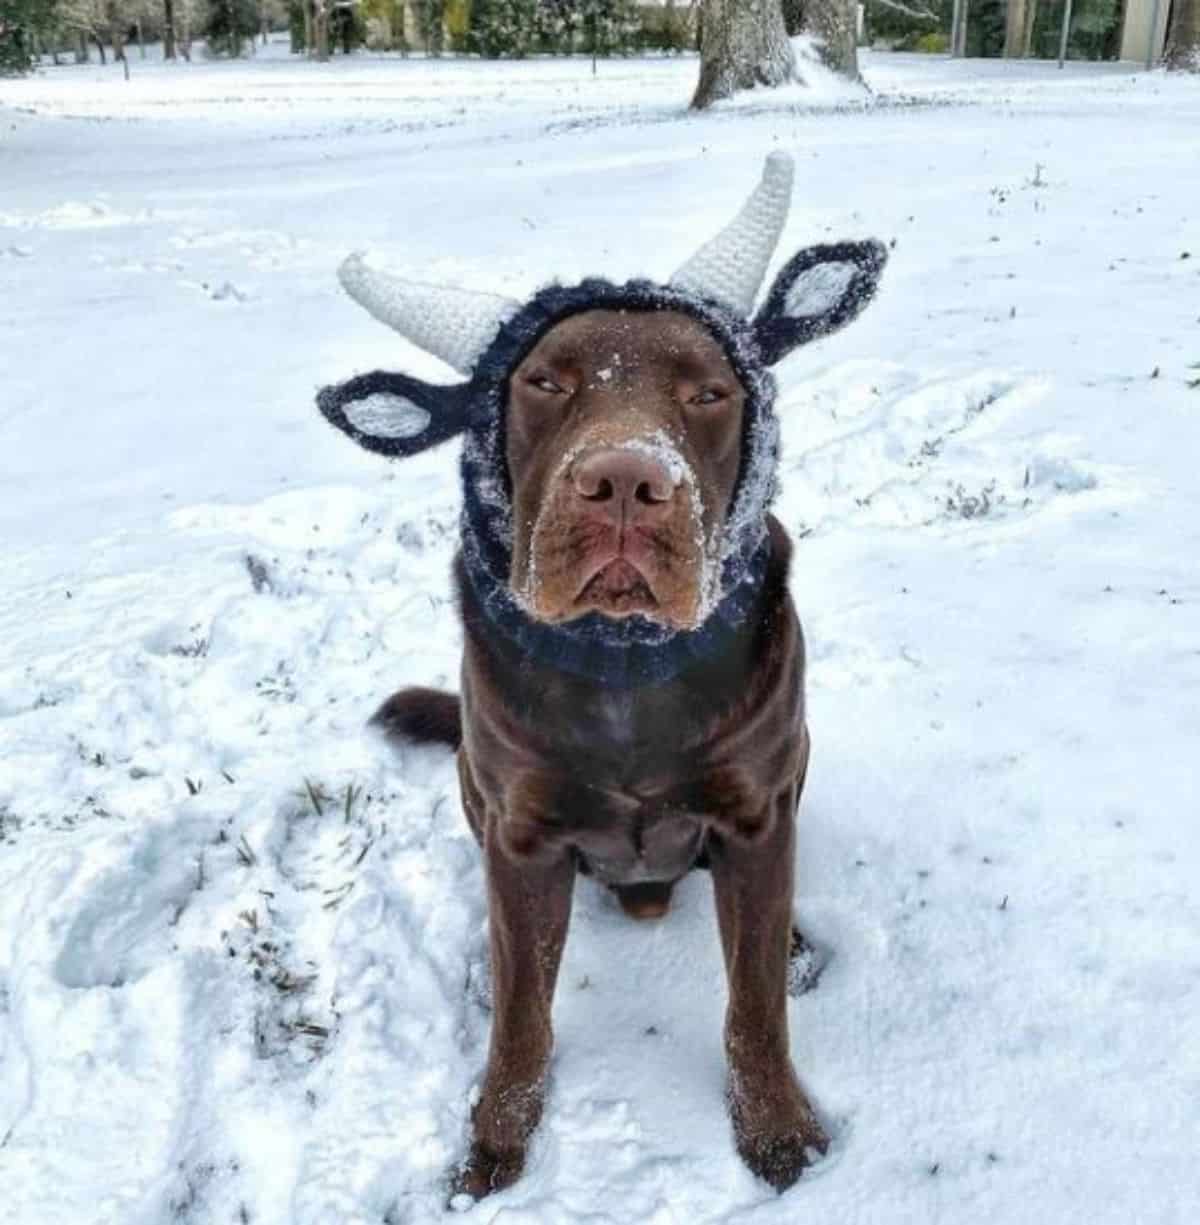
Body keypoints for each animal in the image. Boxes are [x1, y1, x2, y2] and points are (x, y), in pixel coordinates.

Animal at [313, 155, 886, 1195]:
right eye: (543, 380)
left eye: (709, 393)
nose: (625, 482)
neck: (624, 668)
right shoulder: (523, 832)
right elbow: (521, 1019)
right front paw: (494, 1146)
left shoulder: (755, 809)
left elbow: (754, 1007)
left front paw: (778, 1130)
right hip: (475, 794)